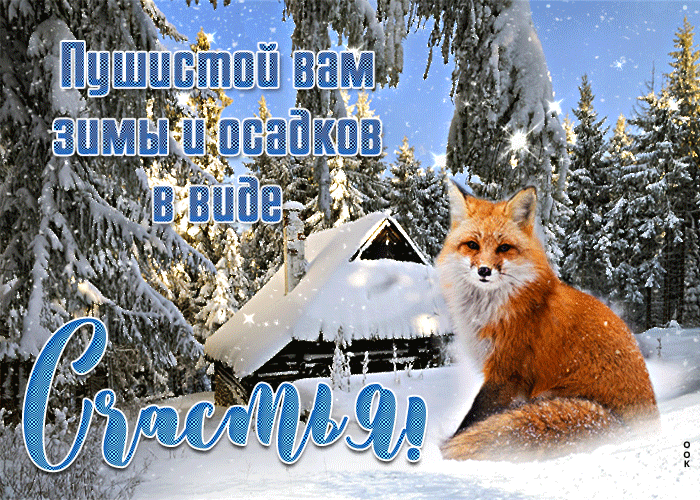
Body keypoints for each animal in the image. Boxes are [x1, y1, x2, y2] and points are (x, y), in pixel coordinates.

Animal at [437, 183, 659, 461]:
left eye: (504, 248)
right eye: (472, 245)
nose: (484, 271)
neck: (491, 309)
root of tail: (636, 429)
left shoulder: (507, 371)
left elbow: (473, 417)